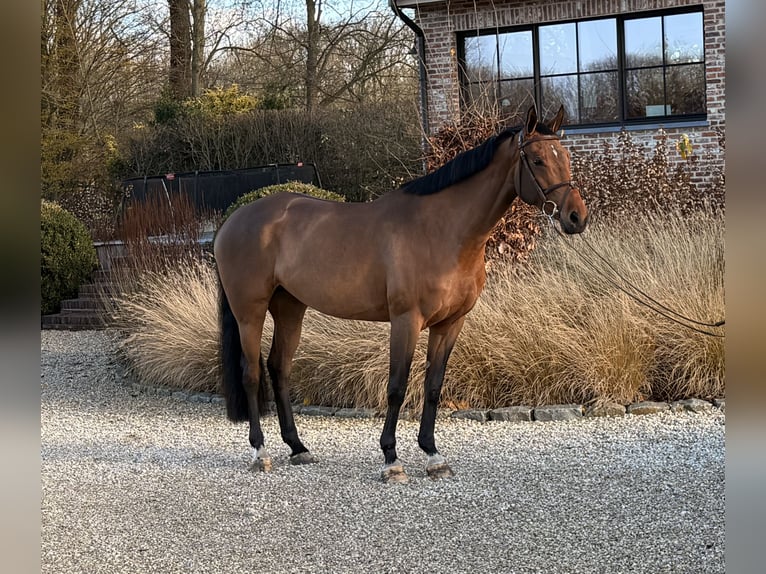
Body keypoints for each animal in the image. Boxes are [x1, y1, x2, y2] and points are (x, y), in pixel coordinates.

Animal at [214, 106, 588, 484]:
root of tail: (233, 219)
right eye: (538, 160)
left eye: (565, 156)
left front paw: (433, 456)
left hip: (290, 307)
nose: (576, 217)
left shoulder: (451, 323)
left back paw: (298, 448)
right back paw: (260, 452)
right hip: (250, 311)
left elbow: (433, 387)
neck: (441, 231)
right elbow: (397, 387)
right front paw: (391, 459)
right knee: (251, 374)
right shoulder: (406, 321)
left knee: (280, 368)